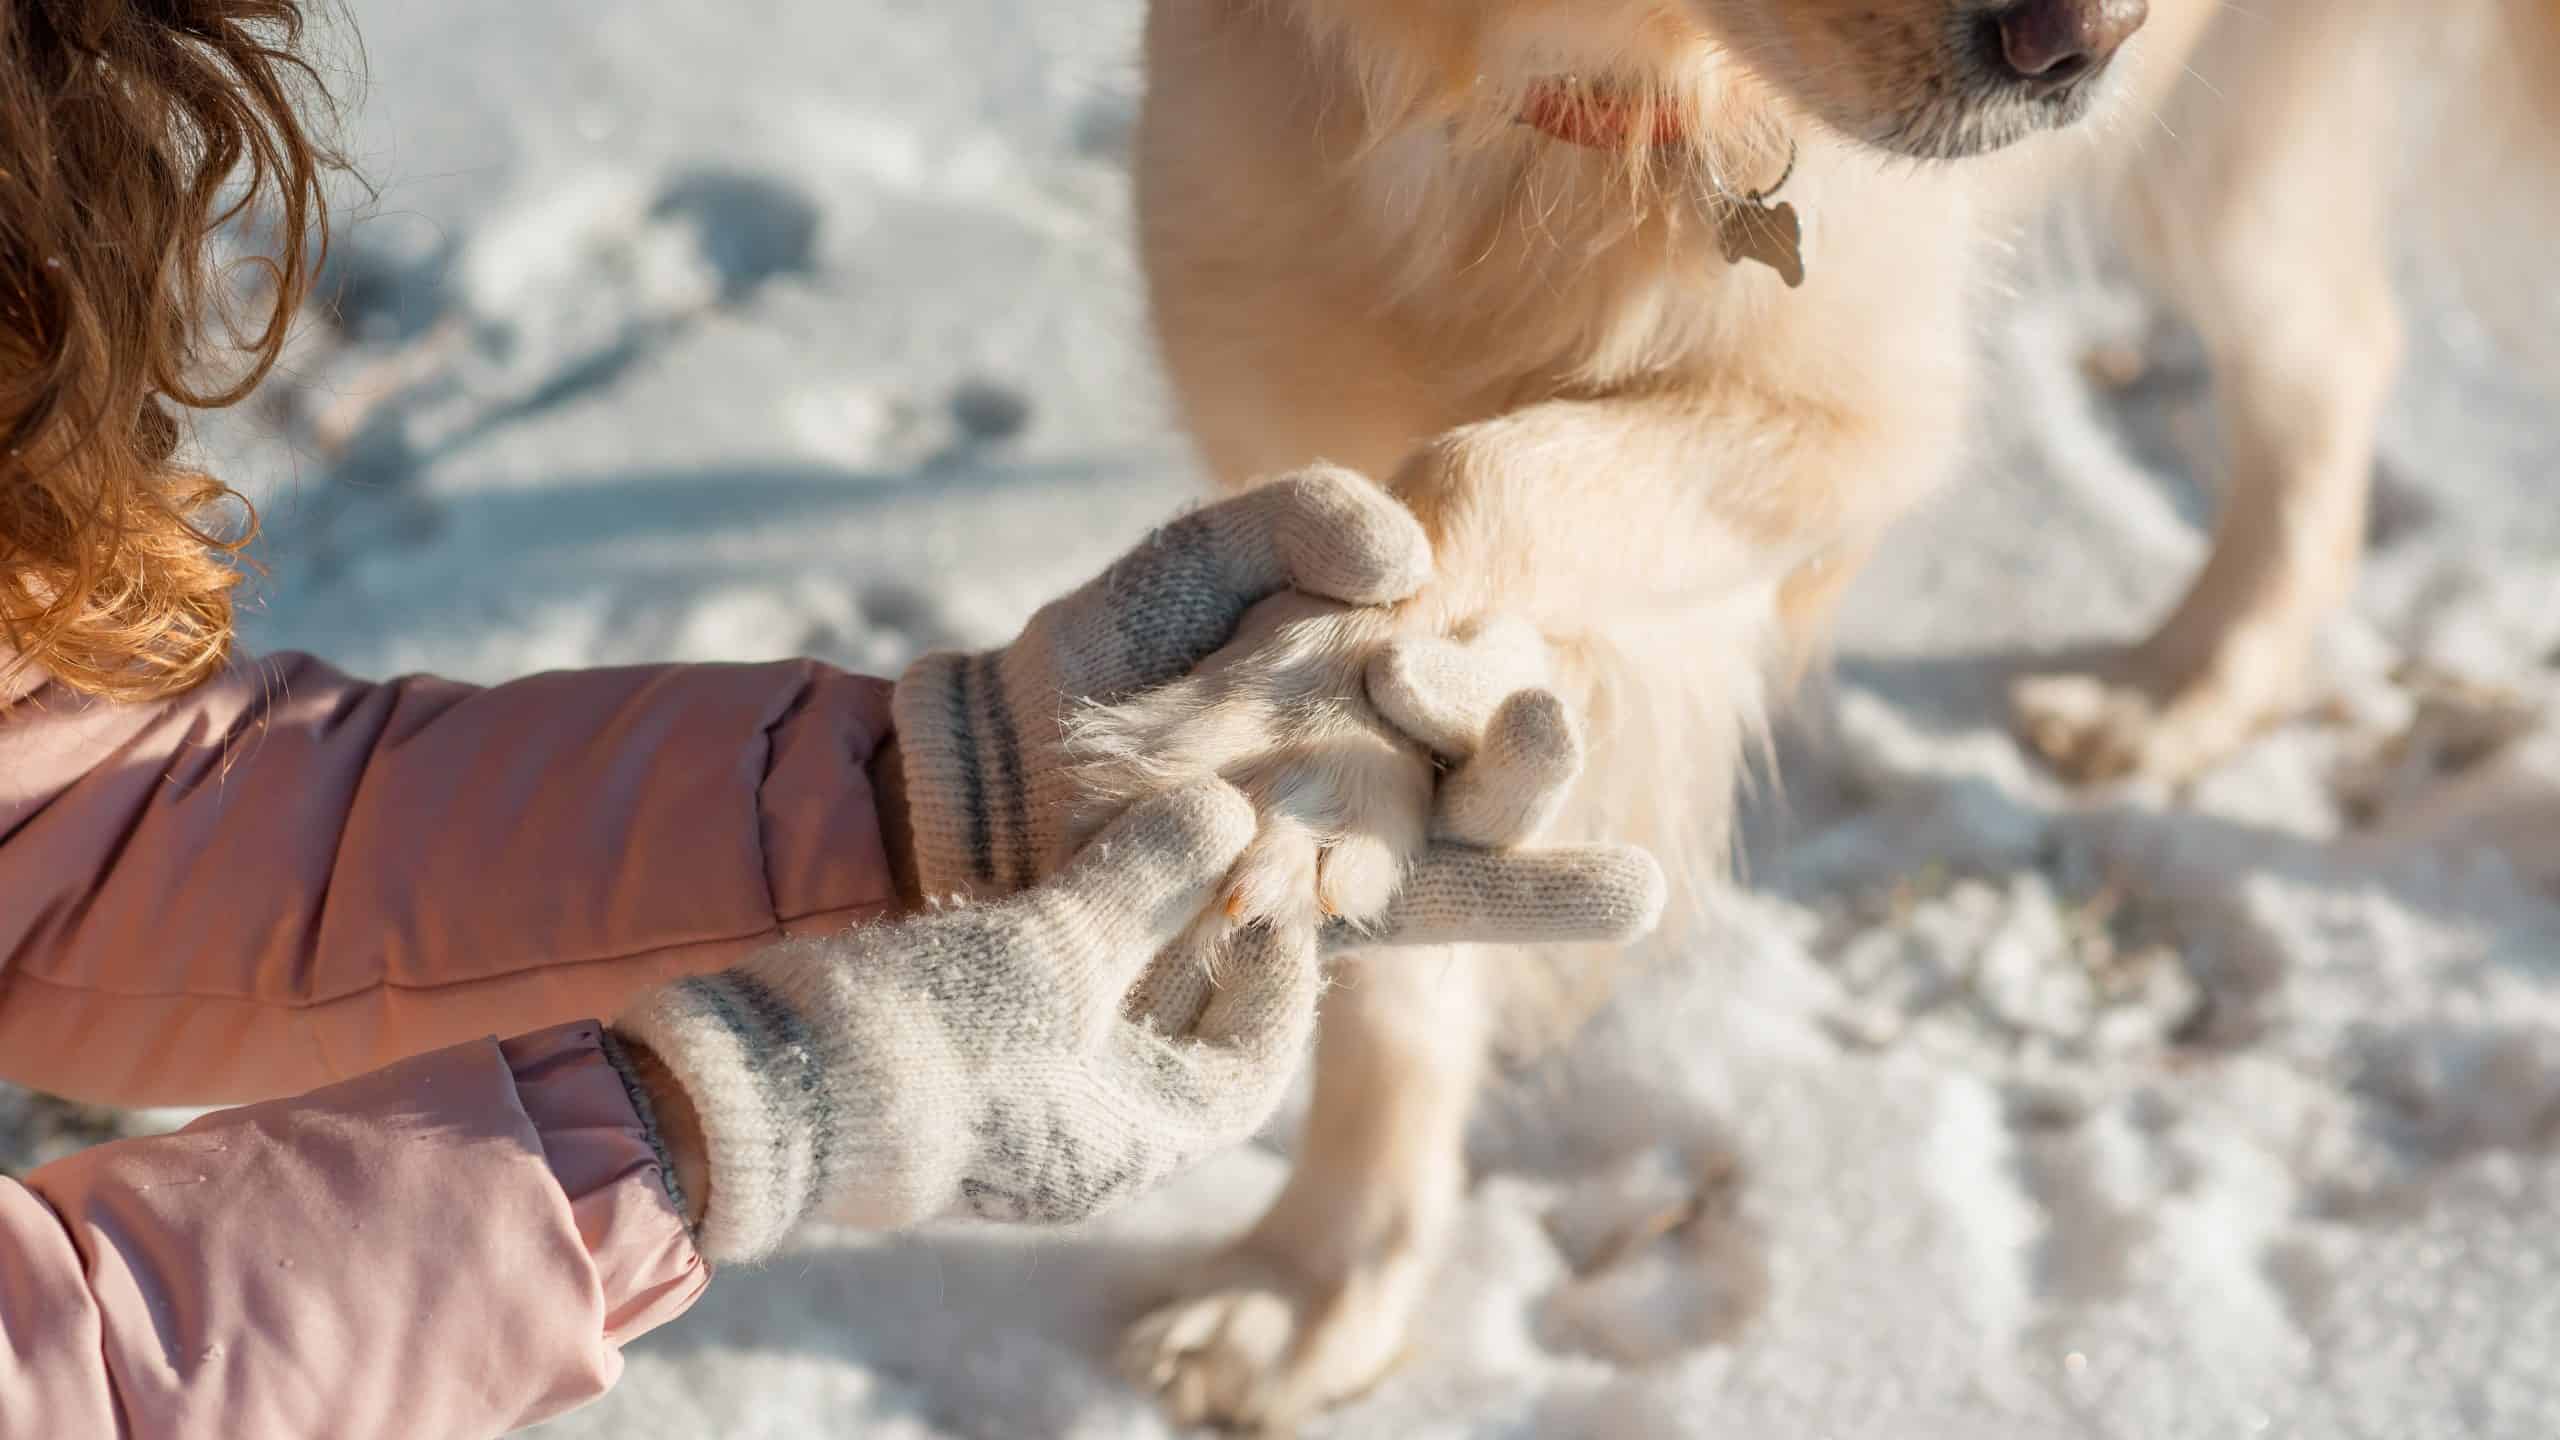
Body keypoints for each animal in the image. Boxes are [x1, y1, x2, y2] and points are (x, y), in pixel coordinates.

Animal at [1085, 0, 2560, 1424]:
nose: (2079, 42)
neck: (1549, 94)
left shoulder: (1854, 414)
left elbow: (1467, 480)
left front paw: (1283, 739)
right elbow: (1401, 925)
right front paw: (1311, 1291)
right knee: (2332, 344)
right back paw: (2187, 687)